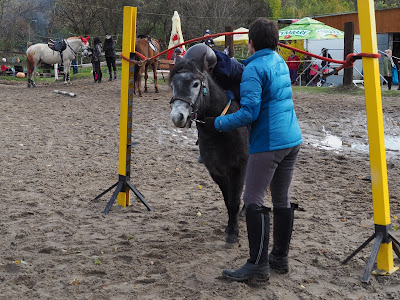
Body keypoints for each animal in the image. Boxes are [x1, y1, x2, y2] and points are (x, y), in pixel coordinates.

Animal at [168, 55, 247, 244]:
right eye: (173, 85)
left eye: (196, 84)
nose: (177, 117)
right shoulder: (216, 172)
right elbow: (227, 200)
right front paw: (229, 227)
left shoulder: (238, 168)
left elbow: (234, 200)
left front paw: (233, 233)